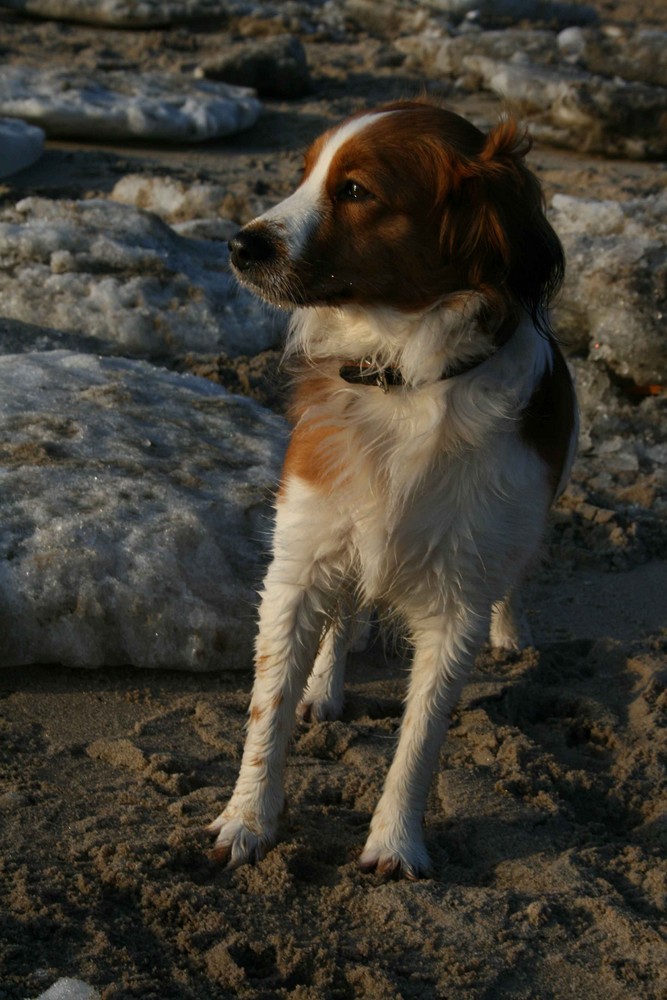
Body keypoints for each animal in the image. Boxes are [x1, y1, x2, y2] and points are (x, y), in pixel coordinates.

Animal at [209, 97, 580, 880]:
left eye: (355, 190)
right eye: (306, 172)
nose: (238, 244)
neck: (405, 375)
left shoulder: (458, 599)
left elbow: (421, 737)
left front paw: (395, 844)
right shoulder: (300, 558)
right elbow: (267, 708)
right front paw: (246, 821)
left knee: (518, 574)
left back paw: (514, 630)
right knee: (343, 616)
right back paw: (326, 688)